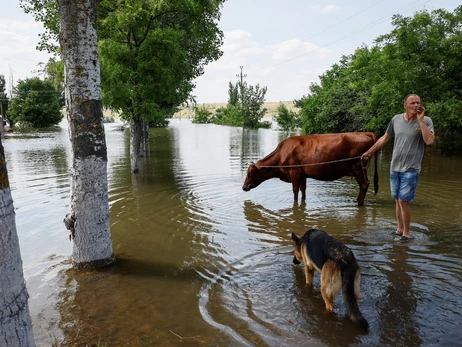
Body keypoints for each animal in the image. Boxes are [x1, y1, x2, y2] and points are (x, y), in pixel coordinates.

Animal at [242, 132, 378, 205]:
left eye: (250, 174)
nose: (243, 187)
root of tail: (364, 132)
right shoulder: (302, 174)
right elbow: (303, 190)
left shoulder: (294, 172)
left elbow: (295, 191)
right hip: (362, 169)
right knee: (366, 184)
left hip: (357, 168)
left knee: (364, 185)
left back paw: (359, 203)